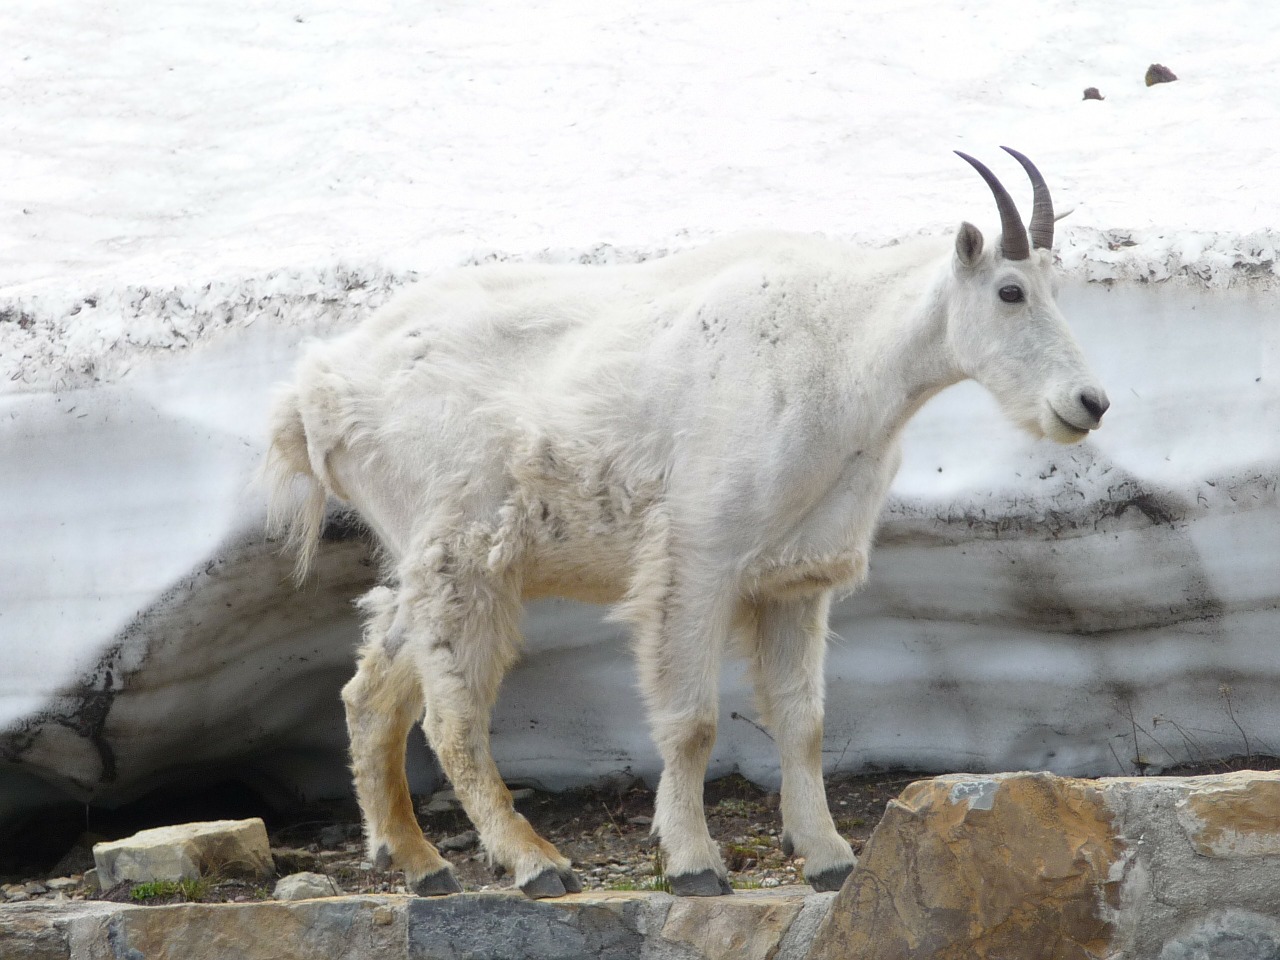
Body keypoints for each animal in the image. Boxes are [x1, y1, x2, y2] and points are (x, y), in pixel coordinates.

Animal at [267, 148, 1111, 901]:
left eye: (1052, 287)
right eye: (1009, 290)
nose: (1090, 403)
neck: (850, 351)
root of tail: (315, 393)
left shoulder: (796, 577)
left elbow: (803, 721)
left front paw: (830, 859)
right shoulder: (699, 558)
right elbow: (693, 721)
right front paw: (695, 865)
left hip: (428, 559)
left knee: (371, 689)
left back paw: (421, 865)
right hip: (462, 554)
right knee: (453, 715)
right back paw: (535, 864)